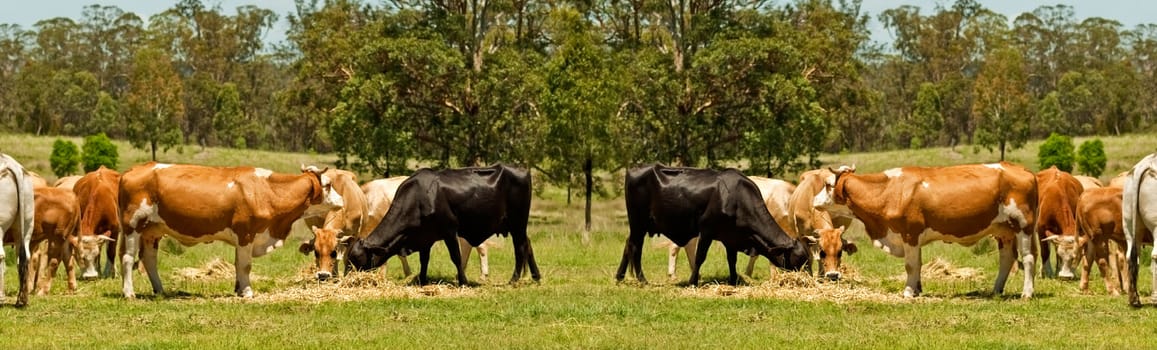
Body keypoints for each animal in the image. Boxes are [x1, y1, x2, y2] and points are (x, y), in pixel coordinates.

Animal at [118, 162, 342, 298]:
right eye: (329, 184)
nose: (342, 200)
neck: (266, 190)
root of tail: (132, 170)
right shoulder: (246, 234)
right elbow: (245, 265)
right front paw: (248, 291)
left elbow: (237, 265)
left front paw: (239, 289)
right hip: (132, 226)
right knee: (128, 258)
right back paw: (129, 293)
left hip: (152, 231)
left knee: (149, 259)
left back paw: (160, 290)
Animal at [814, 162, 1041, 298]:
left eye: (827, 185)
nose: (814, 200)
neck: (890, 191)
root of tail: (1024, 171)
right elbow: (918, 265)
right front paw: (917, 289)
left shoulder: (910, 234)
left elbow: (911, 265)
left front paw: (908, 291)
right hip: (1004, 231)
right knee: (1007, 259)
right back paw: (996, 290)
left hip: (1024, 226)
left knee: (1028, 258)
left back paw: (1027, 293)